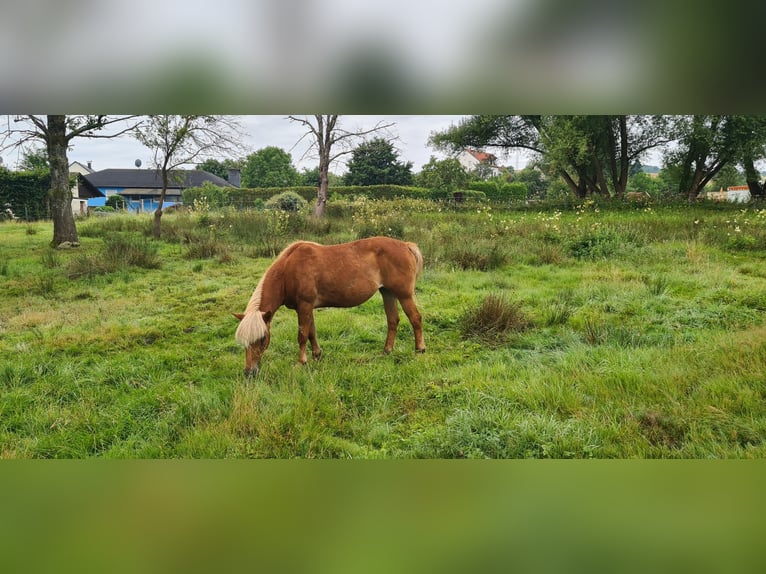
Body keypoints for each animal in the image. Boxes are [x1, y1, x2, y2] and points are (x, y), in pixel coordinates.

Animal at [234, 237, 425, 376]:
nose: (249, 372)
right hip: (388, 293)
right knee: (393, 320)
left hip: (404, 295)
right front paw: (317, 355)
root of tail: (405, 245)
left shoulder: (304, 305)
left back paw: (419, 350)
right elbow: (311, 332)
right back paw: (387, 351)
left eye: (262, 339)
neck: (288, 271)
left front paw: (301, 362)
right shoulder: (306, 308)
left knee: (415, 319)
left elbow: (302, 335)